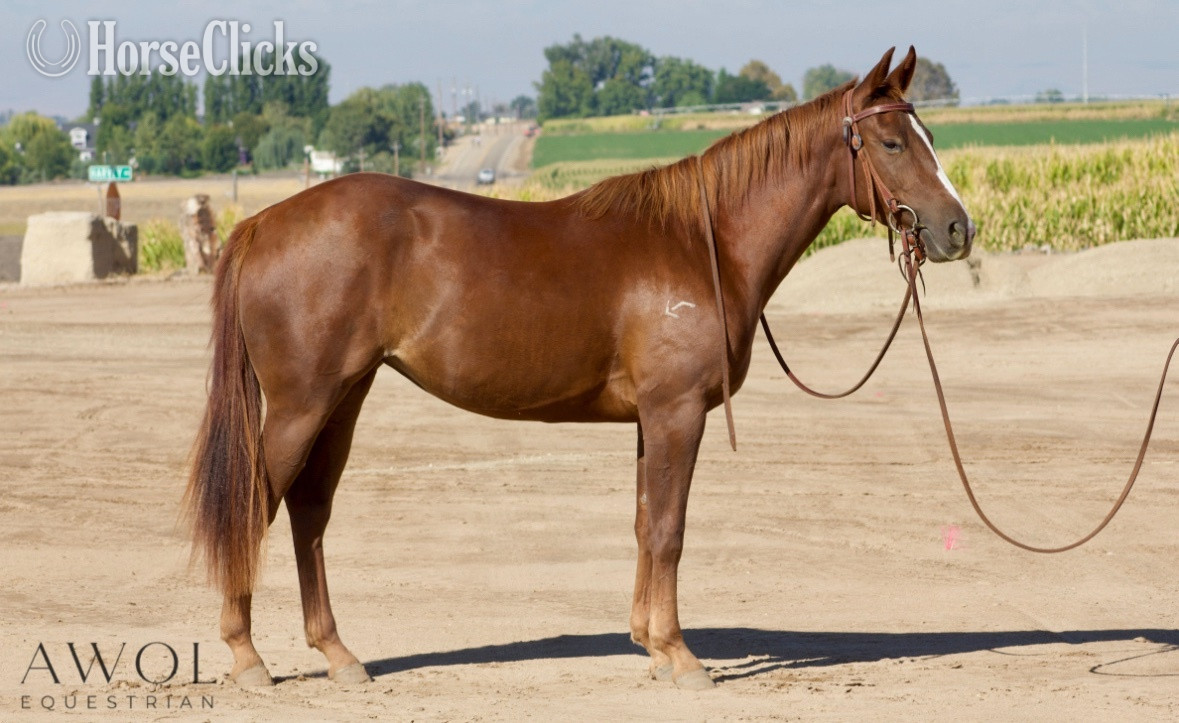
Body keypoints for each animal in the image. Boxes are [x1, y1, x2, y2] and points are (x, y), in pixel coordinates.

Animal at [184, 46, 974, 691]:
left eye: (929, 137)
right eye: (892, 141)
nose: (957, 228)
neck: (704, 240)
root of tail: (262, 224)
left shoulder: (650, 420)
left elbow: (645, 522)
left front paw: (650, 645)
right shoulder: (676, 412)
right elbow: (670, 529)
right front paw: (682, 656)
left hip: (343, 398)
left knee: (309, 511)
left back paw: (339, 655)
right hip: (301, 404)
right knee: (256, 505)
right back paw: (248, 658)